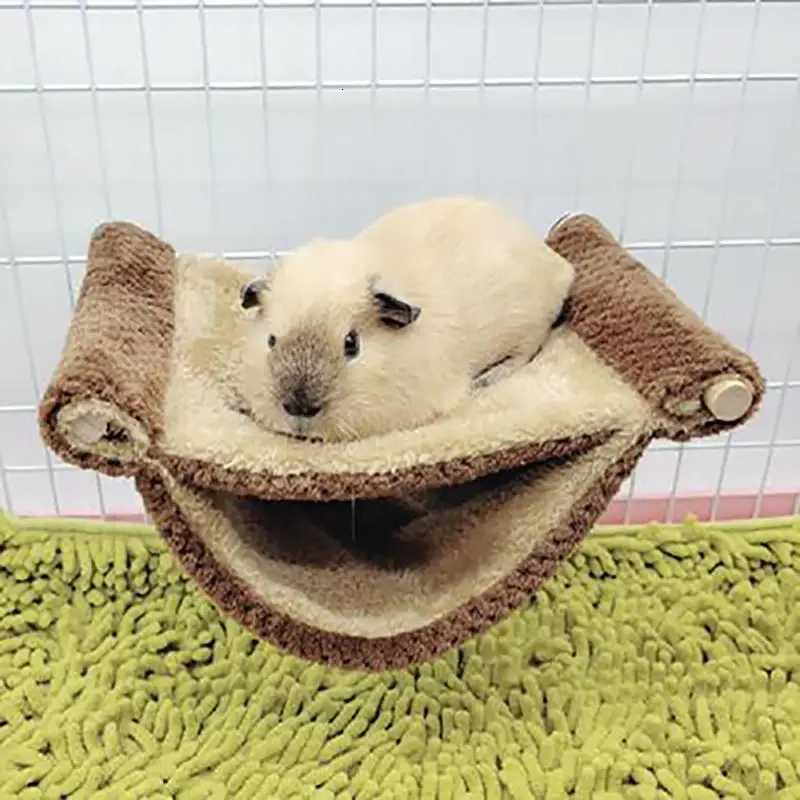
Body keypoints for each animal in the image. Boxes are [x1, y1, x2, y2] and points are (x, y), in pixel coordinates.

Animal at [236, 197, 574, 442]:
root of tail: (562, 268)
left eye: (351, 344)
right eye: (271, 340)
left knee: (526, 352)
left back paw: (487, 378)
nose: (299, 407)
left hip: (529, 328)